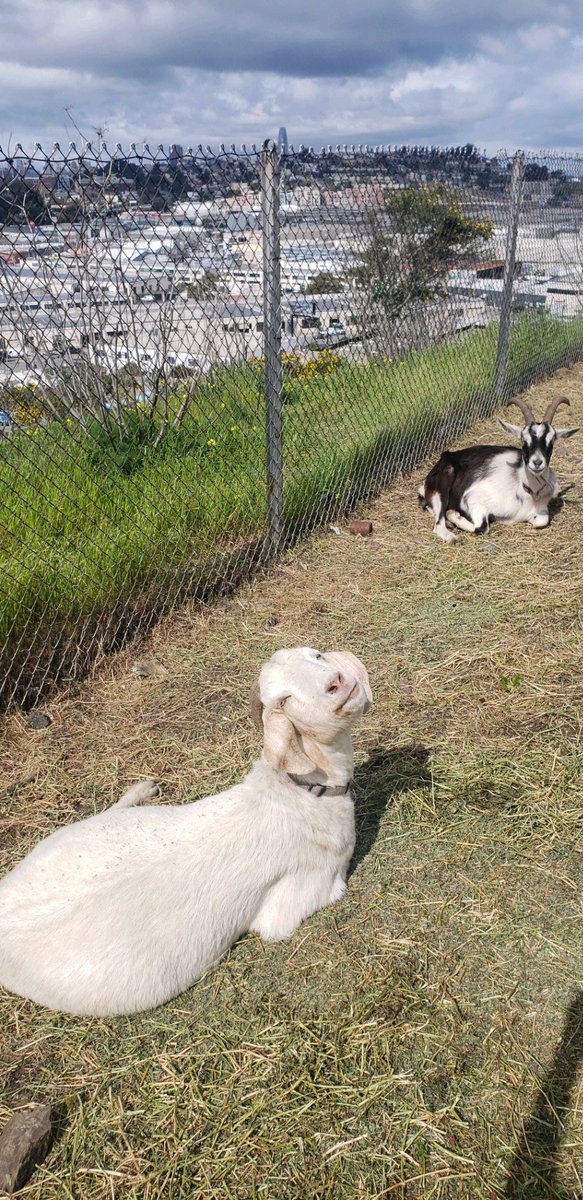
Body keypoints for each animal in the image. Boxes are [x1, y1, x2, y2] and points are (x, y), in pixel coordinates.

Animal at [0, 647, 372, 1017]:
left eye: (317, 655)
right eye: (284, 700)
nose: (337, 682)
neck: (300, 795)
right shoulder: (301, 898)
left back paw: (143, 789)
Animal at [419, 396, 580, 543]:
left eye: (551, 441)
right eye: (523, 440)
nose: (537, 462)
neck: (524, 490)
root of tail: (447, 456)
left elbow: (542, 521)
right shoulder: (473, 499)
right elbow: (482, 527)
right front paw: (454, 514)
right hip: (443, 484)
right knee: (439, 524)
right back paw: (452, 534)